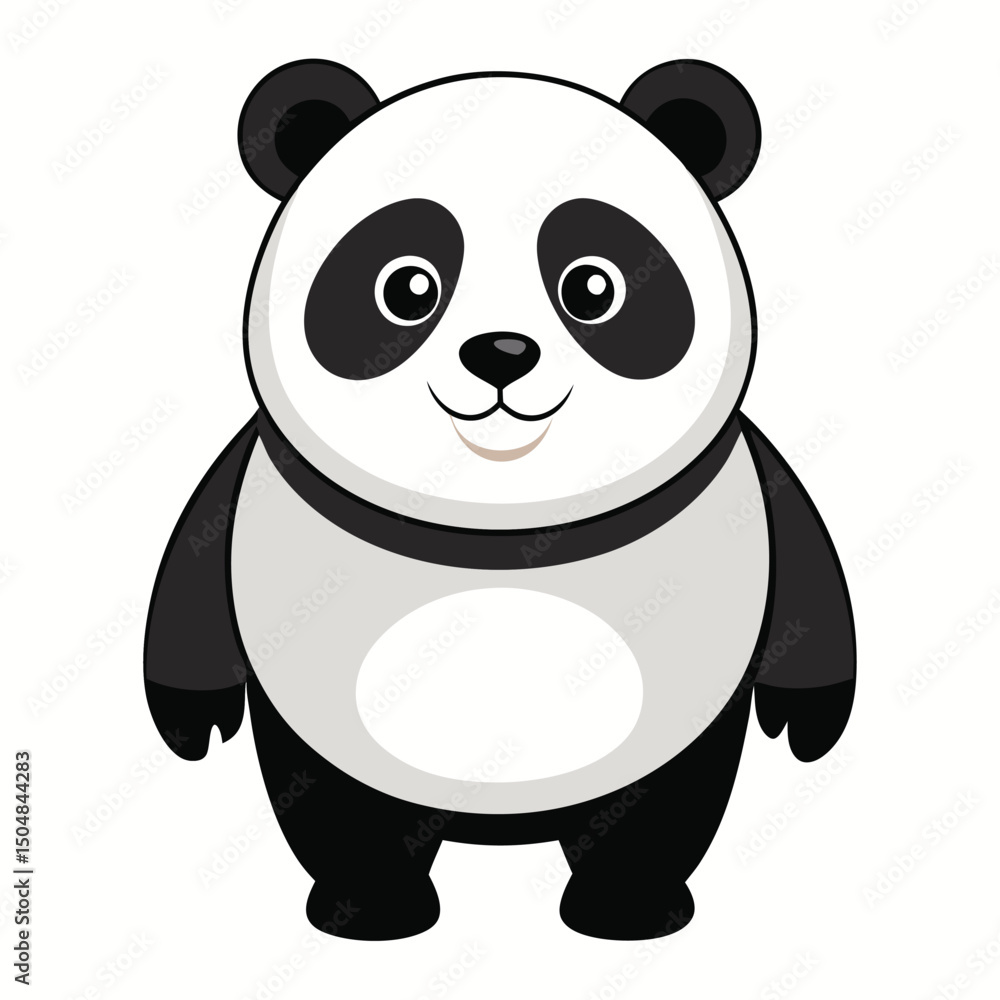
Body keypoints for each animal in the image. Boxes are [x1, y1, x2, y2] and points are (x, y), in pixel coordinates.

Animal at [144, 59, 856, 942]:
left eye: (593, 286)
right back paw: (371, 907)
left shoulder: (740, 482)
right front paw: (193, 721)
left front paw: (807, 719)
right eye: (406, 286)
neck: (499, 519)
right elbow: (196, 577)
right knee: (340, 808)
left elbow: (806, 578)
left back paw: (627, 905)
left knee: (653, 809)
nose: (502, 353)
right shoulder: (259, 482)